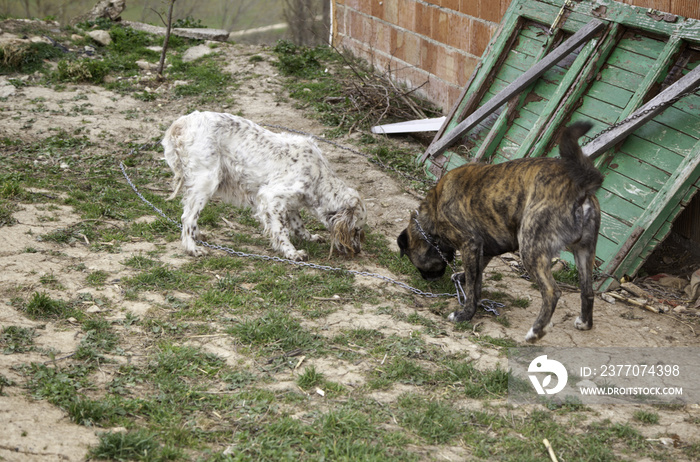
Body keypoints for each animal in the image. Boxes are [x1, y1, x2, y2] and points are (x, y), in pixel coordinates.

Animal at [162, 108, 370, 260]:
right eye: (356, 230)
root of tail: (181, 123)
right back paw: (192, 248)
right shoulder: (271, 198)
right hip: (207, 181)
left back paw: (198, 236)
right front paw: (292, 252)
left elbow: (298, 224)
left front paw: (309, 238)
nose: (358, 251)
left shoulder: (290, 201)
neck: (319, 176)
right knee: (187, 218)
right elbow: (281, 230)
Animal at [400, 121, 600, 342]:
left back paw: (536, 331)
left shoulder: (470, 244)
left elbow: (472, 286)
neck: (434, 209)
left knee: (551, 292)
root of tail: (578, 187)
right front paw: (466, 286)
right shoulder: (483, 249)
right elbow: (476, 277)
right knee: (588, 291)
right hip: (584, 252)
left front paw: (464, 314)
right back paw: (585, 322)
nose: (427, 280)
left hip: (531, 249)